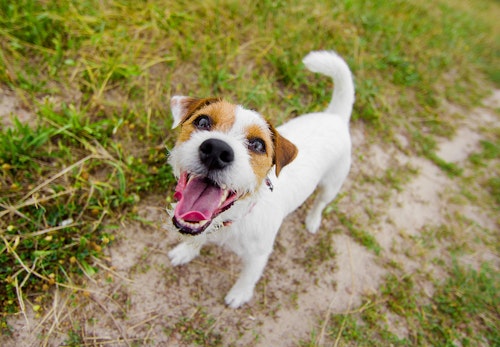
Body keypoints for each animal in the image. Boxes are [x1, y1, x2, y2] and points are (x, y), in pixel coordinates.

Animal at [166, 50, 354, 308]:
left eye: (257, 145)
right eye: (202, 122)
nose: (216, 151)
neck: (236, 217)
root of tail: (335, 117)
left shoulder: (259, 255)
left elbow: (248, 276)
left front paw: (239, 293)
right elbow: (197, 238)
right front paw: (186, 251)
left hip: (331, 184)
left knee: (321, 202)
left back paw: (313, 220)